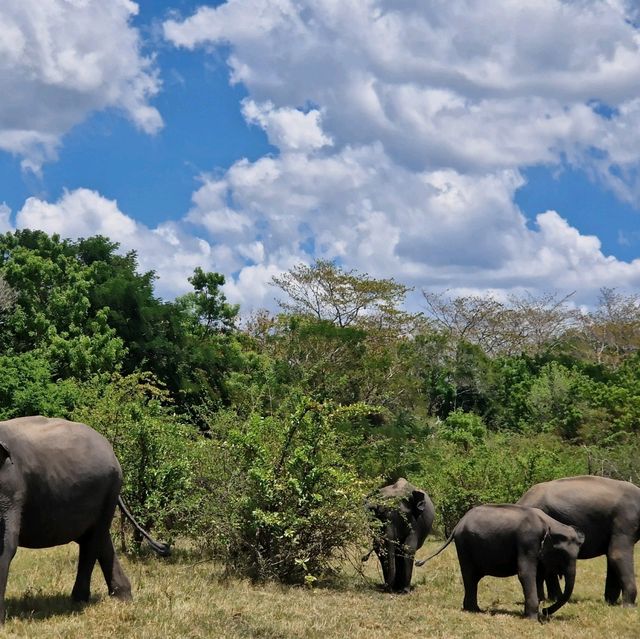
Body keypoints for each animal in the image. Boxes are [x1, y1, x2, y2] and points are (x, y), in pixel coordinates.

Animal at [0, 412, 170, 624]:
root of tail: (112, 451)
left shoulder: (11, 489)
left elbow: (4, 546)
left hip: (109, 489)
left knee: (93, 541)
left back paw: (79, 601)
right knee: (100, 539)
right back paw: (123, 598)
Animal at [416, 504, 584, 620]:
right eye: (562, 554)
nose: (546, 611)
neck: (549, 523)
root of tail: (457, 525)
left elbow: (538, 575)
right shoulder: (527, 541)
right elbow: (525, 574)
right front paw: (532, 619)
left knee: (473, 579)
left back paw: (475, 609)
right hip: (464, 545)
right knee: (470, 576)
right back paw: (473, 610)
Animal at [516, 478, 640, 608]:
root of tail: (521, 500)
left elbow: (611, 557)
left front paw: (610, 602)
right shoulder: (626, 519)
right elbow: (617, 555)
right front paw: (629, 606)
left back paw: (552, 599)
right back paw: (549, 599)